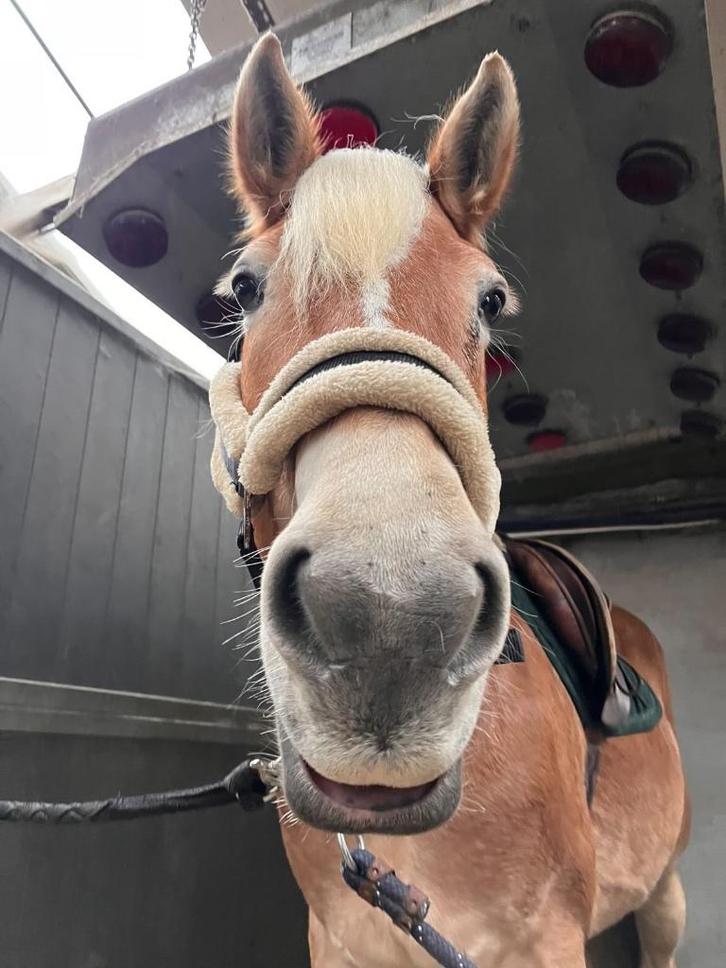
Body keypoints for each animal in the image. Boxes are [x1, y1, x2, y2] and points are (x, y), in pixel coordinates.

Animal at [208, 34, 689, 968]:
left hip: (665, 897)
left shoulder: (545, 939)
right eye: (245, 288)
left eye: (490, 299)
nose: (391, 624)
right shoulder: (339, 940)